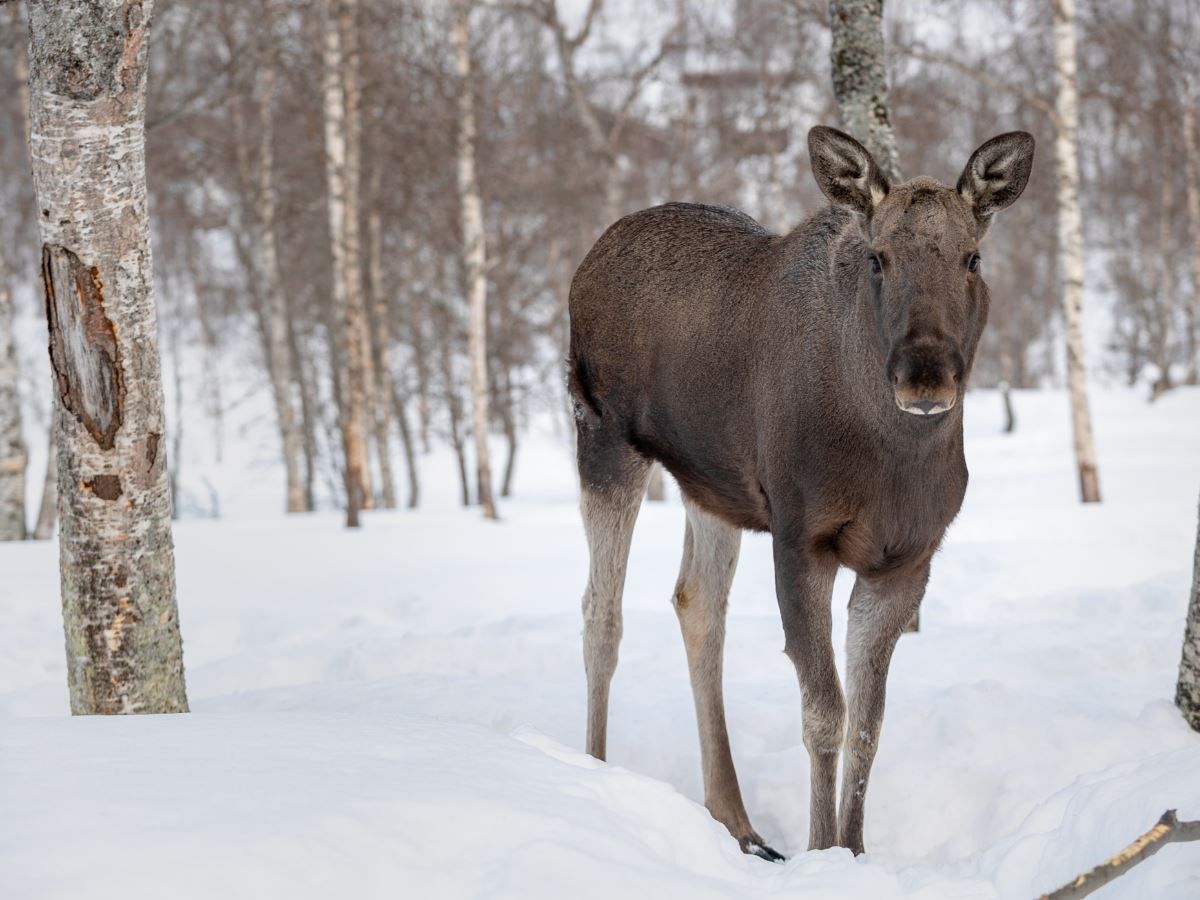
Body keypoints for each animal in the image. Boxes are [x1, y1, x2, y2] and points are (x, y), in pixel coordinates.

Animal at [566, 125, 1034, 859]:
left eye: (973, 257)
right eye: (878, 258)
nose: (925, 377)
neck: (893, 458)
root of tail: (590, 257)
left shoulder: (906, 559)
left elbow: (869, 722)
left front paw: (855, 850)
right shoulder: (800, 538)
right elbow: (824, 713)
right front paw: (823, 852)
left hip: (710, 483)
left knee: (697, 605)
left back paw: (737, 821)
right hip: (605, 438)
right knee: (601, 614)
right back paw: (596, 774)